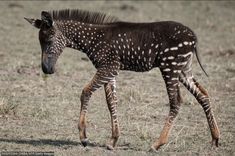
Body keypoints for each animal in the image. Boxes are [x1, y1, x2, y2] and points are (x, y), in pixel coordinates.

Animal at [24, 9, 219, 151]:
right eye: (40, 41)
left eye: (49, 40)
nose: (46, 70)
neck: (93, 39)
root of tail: (193, 37)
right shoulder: (111, 72)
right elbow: (111, 102)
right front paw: (113, 140)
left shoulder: (108, 68)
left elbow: (85, 92)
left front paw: (84, 137)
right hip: (184, 70)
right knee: (203, 94)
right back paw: (215, 139)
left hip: (170, 67)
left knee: (176, 101)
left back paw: (157, 144)